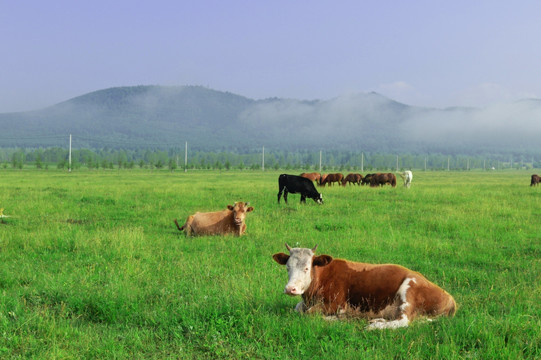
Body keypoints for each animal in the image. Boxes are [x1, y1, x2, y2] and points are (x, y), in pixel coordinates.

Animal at [272, 243, 454, 330]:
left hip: (409, 289)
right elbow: (298, 308)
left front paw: (338, 318)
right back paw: (377, 319)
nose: (290, 289)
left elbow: (309, 313)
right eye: (287, 267)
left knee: (403, 321)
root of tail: (450, 298)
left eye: (306, 268)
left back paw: (374, 326)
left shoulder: (336, 304)